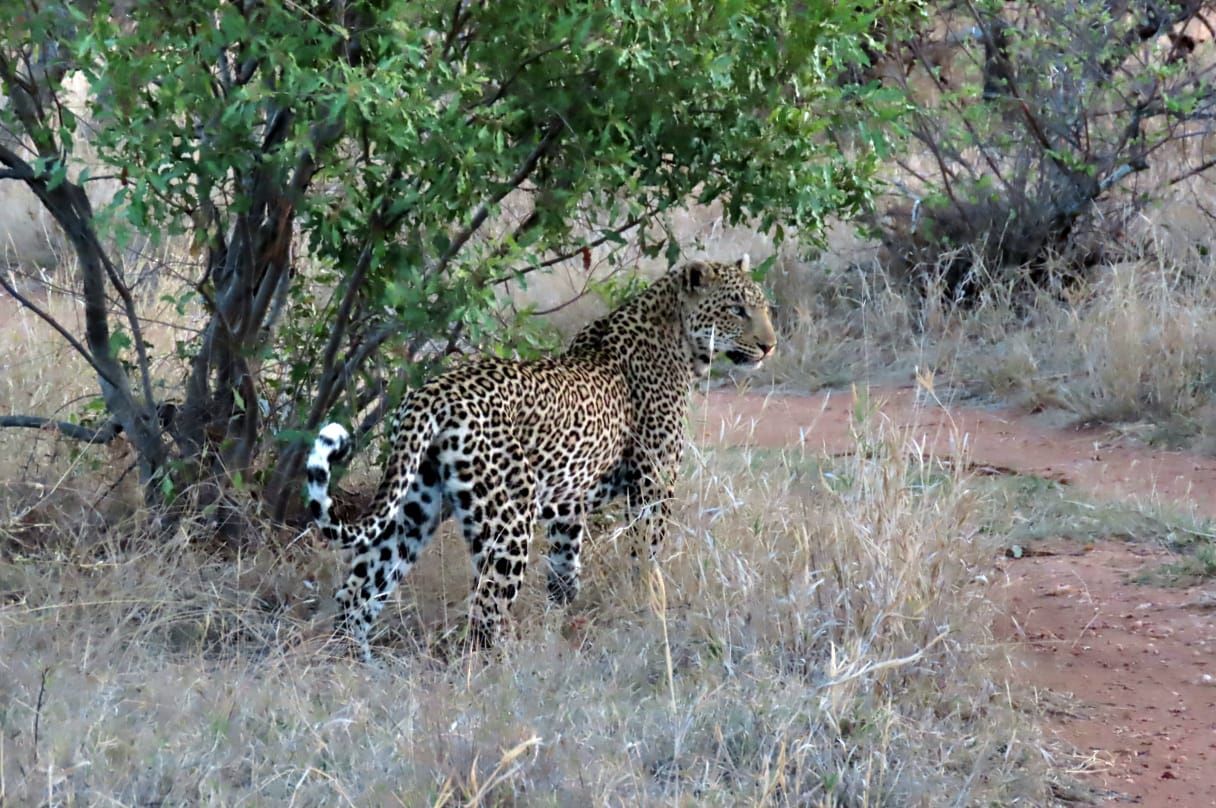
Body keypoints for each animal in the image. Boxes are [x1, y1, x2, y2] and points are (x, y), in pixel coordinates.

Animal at [306, 256, 776, 660]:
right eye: (736, 309)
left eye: (763, 307)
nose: (769, 346)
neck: (677, 338)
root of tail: (433, 392)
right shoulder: (652, 486)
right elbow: (647, 558)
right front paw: (649, 608)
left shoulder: (569, 503)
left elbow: (565, 573)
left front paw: (562, 622)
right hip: (507, 521)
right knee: (485, 609)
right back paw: (501, 673)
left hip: (414, 507)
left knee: (358, 591)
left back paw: (356, 668)